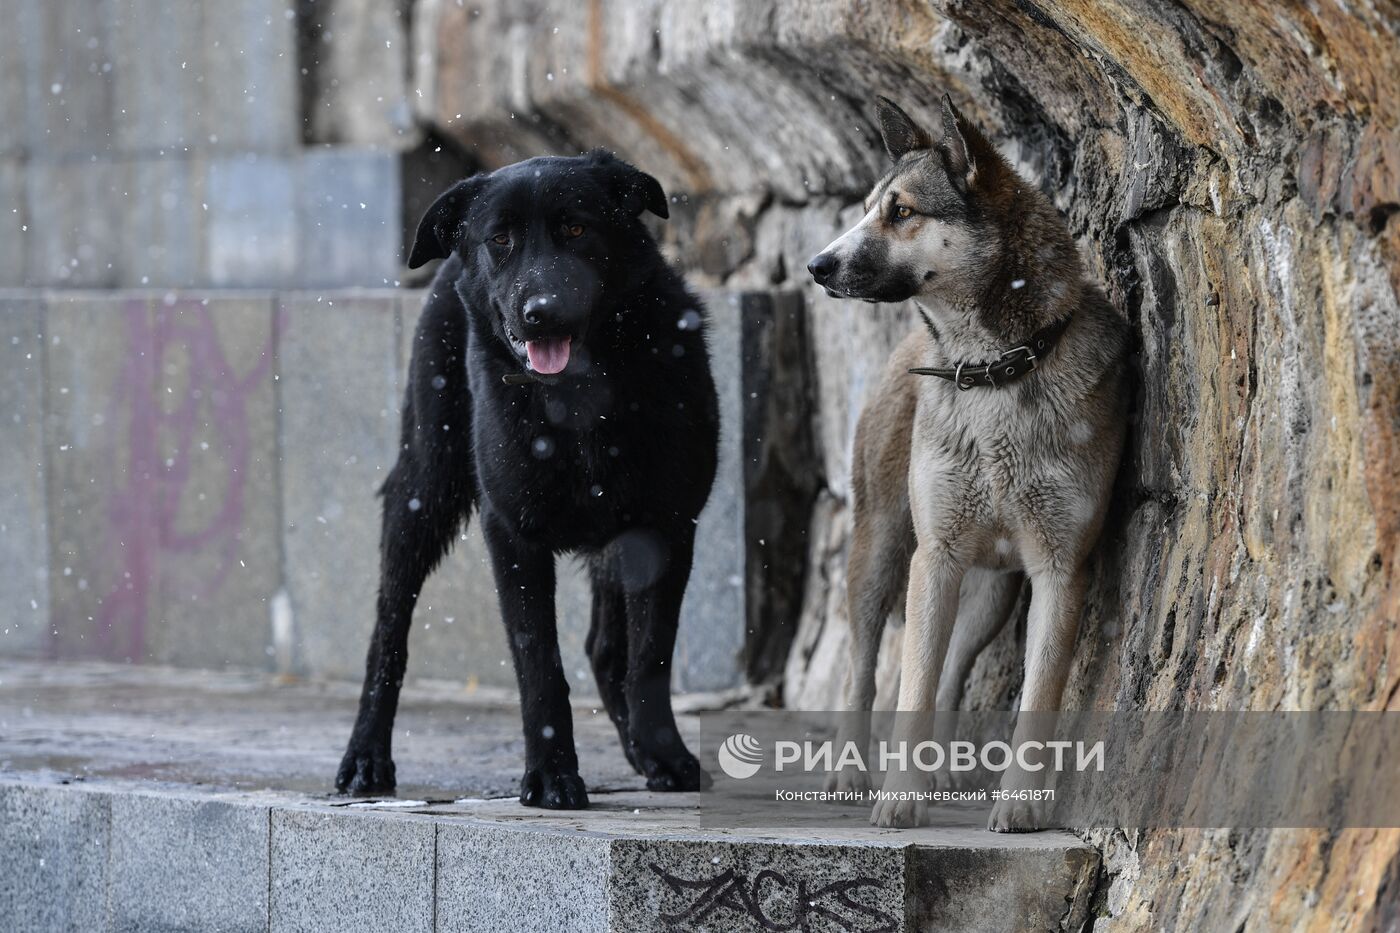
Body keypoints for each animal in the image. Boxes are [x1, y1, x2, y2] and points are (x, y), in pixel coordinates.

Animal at [334, 152, 716, 806]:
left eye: (576, 229)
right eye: (500, 240)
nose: (542, 315)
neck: (583, 396)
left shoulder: (664, 528)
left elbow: (649, 658)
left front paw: (666, 756)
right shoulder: (513, 536)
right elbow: (539, 661)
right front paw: (552, 774)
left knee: (607, 651)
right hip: (422, 492)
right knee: (388, 633)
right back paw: (365, 757)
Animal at [812, 95, 1125, 829]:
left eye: (902, 211)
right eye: (865, 207)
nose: (816, 265)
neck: (993, 372)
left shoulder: (1058, 568)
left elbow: (1036, 695)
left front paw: (1019, 804)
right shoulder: (936, 556)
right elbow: (911, 688)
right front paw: (897, 800)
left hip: (990, 591)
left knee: (953, 669)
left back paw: (939, 775)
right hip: (882, 549)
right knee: (867, 665)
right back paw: (852, 770)